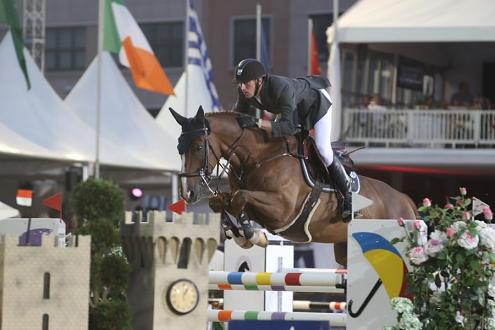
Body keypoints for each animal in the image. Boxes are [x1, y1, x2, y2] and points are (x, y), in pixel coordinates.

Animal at [171, 107, 418, 266]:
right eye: (179, 147)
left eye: (198, 147)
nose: (187, 192)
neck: (257, 157)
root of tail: (406, 200)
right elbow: (220, 202)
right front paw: (239, 232)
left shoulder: (282, 211)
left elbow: (240, 197)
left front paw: (252, 235)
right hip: (344, 251)